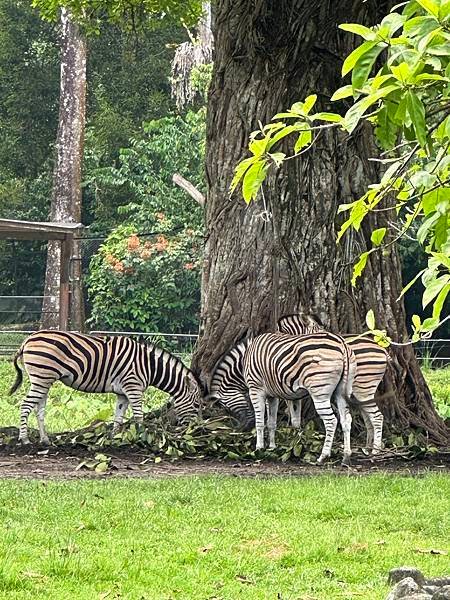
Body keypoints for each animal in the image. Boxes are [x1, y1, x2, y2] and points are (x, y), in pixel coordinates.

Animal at [9, 328, 202, 446]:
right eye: (197, 405)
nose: (194, 430)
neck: (149, 366)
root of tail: (28, 339)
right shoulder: (133, 387)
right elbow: (138, 416)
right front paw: (141, 438)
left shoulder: (123, 392)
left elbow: (118, 417)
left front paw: (114, 439)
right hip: (42, 377)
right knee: (25, 405)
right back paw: (24, 439)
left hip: (44, 380)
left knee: (39, 409)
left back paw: (45, 440)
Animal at [276, 316, 388, 452]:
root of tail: (382, 350)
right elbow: (294, 418)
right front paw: (296, 439)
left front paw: (295, 442)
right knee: (368, 418)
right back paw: (367, 448)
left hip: (363, 387)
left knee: (376, 416)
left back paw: (376, 450)